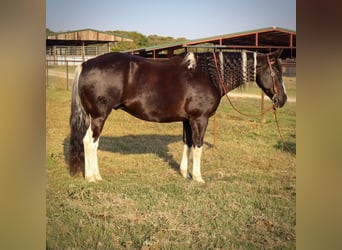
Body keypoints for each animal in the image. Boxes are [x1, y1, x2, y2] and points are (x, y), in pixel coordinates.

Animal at [69, 49, 286, 182]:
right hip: (99, 117)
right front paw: (198, 178)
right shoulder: (200, 119)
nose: (282, 100)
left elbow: (187, 144)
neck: (208, 75)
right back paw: (92, 178)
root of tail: (85, 64)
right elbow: (198, 147)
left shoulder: (188, 121)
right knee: (89, 142)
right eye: (275, 72)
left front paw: (185, 174)